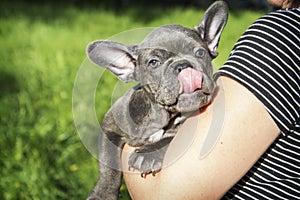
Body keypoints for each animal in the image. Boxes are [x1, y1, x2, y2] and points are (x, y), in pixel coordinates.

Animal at [85, 1, 226, 198]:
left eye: (200, 53)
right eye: (153, 63)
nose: (183, 65)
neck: (162, 116)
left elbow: (170, 137)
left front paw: (147, 155)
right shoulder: (110, 126)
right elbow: (108, 163)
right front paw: (102, 194)